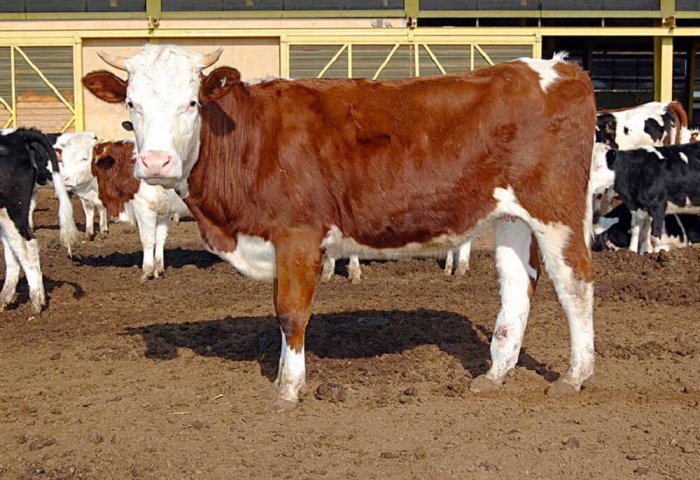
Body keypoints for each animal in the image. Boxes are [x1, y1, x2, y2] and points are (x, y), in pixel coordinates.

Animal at [83, 45, 597, 410]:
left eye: (191, 102)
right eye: (131, 103)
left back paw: (575, 376)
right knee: (517, 287)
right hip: (511, 216)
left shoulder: (297, 233)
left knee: (574, 284)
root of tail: (556, 68)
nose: (156, 162)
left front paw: (288, 389)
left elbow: (291, 312)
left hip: (556, 210)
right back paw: (494, 375)